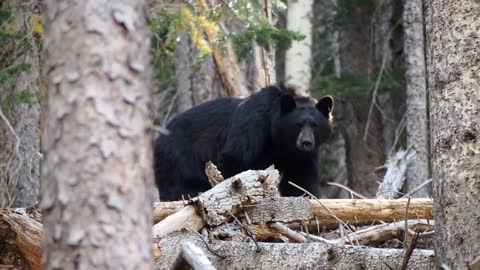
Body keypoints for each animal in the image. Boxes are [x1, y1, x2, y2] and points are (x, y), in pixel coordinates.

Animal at [155, 84, 334, 200]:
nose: (306, 142)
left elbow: (300, 178)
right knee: (178, 187)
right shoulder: (253, 125)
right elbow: (235, 158)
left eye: (315, 125)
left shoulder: (298, 156)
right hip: (178, 159)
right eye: (298, 125)